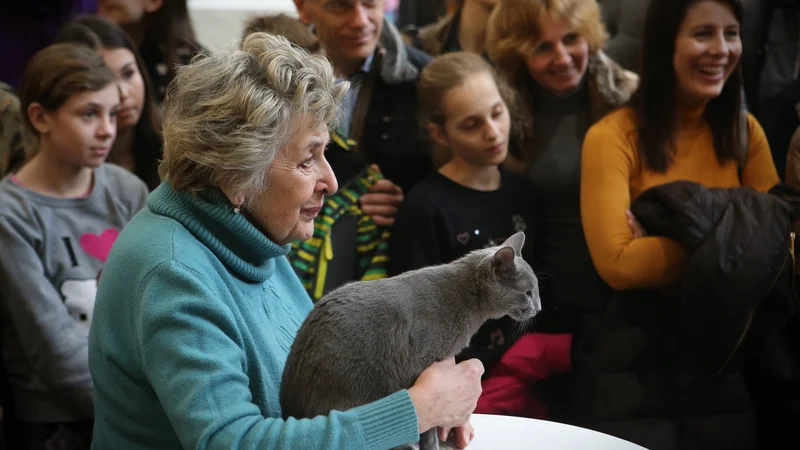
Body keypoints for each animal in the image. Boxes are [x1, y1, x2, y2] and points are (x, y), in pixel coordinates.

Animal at [282, 230, 544, 448]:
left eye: (536, 292)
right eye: (528, 293)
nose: (539, 309)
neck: (468, 300)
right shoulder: (422, 365)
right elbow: (430, 425)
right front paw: (432, 445)